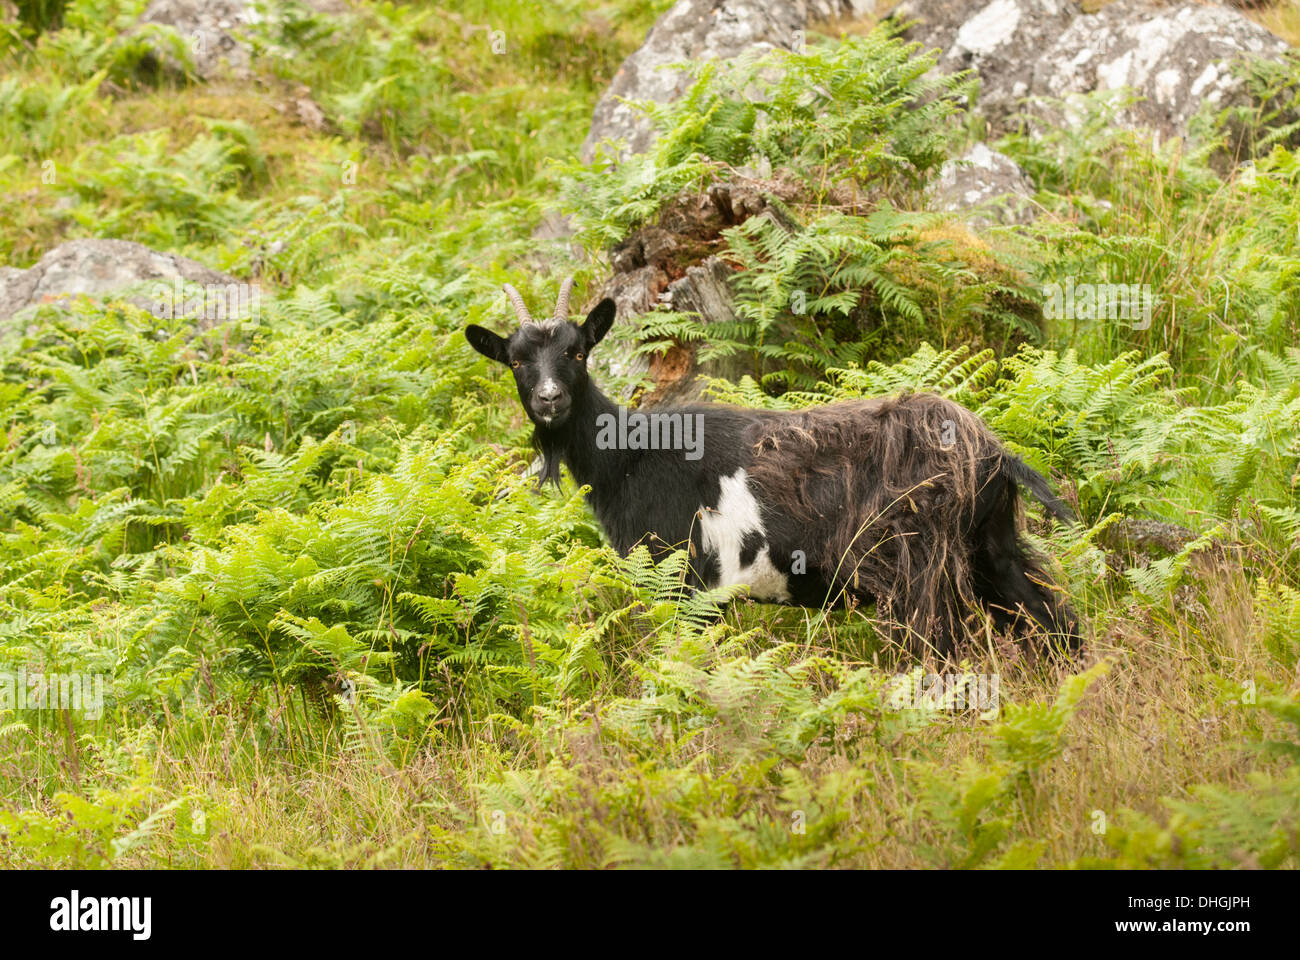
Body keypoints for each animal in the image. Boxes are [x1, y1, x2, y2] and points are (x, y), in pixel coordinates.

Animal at [465, 278, 1081, 658]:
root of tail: (994, 451)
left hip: (922, 568)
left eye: (577, 351)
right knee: (1054, 621)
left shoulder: (686, 584)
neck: (631, 457)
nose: (549, 400)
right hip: (990, 548)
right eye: (516, 360)